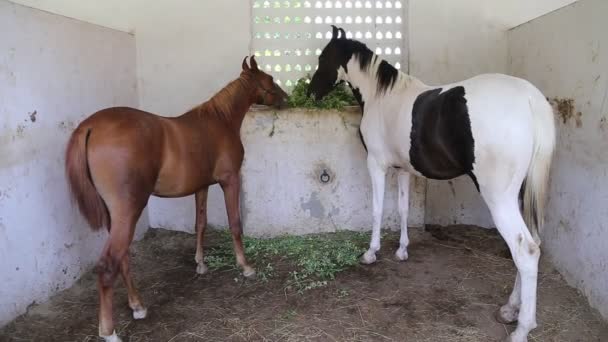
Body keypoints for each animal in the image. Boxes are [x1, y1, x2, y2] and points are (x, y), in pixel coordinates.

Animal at [64, 56, 288, 342]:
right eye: (269, 79)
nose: (286, 98)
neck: (220, 121)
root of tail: (90, 126)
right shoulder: (230, 181)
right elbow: (235, 224)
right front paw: (245, 266)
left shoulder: (201, 187)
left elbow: (200, 224)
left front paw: (200, 264)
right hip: (129, 211)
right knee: (108, 266)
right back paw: (110, 331)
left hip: (114, 216)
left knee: (123, 259)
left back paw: (138, 306)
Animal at [312, 26, 552, 342]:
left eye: (323, 57)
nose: (311, 92)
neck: (382, 96)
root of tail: (529, 99)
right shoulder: (403, 170)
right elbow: (402, 209)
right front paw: (401, 251)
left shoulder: (376, 165)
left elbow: (377, 210)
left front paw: (371, 253)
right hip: (520, 195)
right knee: (532, 243)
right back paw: (511, 309)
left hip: (499, 198)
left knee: (525, 251)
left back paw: (522, 328)